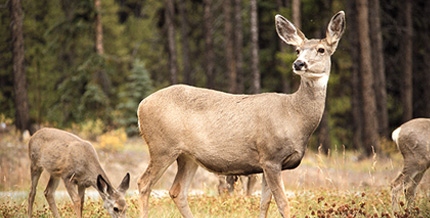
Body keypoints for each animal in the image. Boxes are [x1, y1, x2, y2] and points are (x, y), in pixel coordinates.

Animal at [138, 10, 346, 218]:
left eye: (321, 49)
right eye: (297, 50)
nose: (299, 63)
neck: (294, 115)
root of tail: (141, 106)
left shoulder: (267, 163)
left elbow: (264, 202)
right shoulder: (270, 155)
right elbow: (283, 203)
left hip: (187, 156)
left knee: (177, 191)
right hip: (162, 147)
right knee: (144, 183)